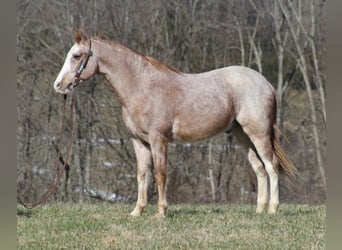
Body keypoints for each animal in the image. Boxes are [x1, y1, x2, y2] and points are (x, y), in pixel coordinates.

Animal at [53, 29, 296, 217]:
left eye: (76, 56)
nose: (58, 85)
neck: (141, 86)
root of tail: (266, 83)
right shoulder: (138, 142)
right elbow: (142, 175)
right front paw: (137, 211)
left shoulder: (158, 140)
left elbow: (160, 175)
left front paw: (161, 212)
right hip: (242, 136)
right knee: (259, 168)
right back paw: (259, 210)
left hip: (259, 134)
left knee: (271, 166)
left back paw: (273, 209)